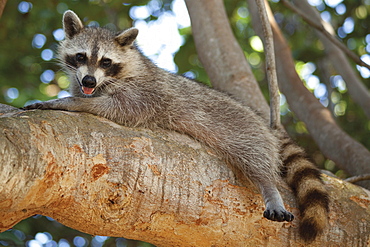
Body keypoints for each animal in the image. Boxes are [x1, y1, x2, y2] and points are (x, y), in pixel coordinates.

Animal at [24, 10, 328, 242]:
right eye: (80, 56)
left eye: (106, 62)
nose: (88, 81)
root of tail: (264, 123)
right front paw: (74, 96)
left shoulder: (144, 93)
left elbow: (118, 109)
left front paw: (68, 102)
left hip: (245, 130)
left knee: (255, 159)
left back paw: (269, 187)